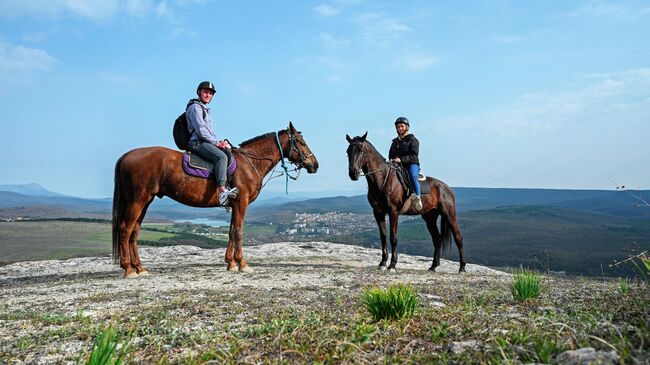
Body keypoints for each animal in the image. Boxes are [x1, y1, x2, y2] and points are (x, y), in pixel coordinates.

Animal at [112, 122, 318, 276]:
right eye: (301, 142)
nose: (315, 164)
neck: (250, 162)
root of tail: (126, 156)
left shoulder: (235, 205)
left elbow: (231, 231)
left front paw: (230, 263)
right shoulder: (241, 203)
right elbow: (239, 232)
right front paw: (242, 263)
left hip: (145, 201)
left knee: (134, 231)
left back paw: (139, 268)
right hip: (138, 200)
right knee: (125, 229)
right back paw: (128, 269)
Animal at [346, 132, 464, 272]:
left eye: (361, 150)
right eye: (348, 151)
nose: (353, 173)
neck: (383, 178)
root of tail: (447, 189)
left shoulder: (394, 212)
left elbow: (393, 237)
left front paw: (392, 265)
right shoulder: (378, 212)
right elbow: (383, 237)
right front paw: (382, 263)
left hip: (449, 215)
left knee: (458, 238)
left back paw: (462, 268)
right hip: (430, 217)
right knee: (437, 239)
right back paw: (433, 266)